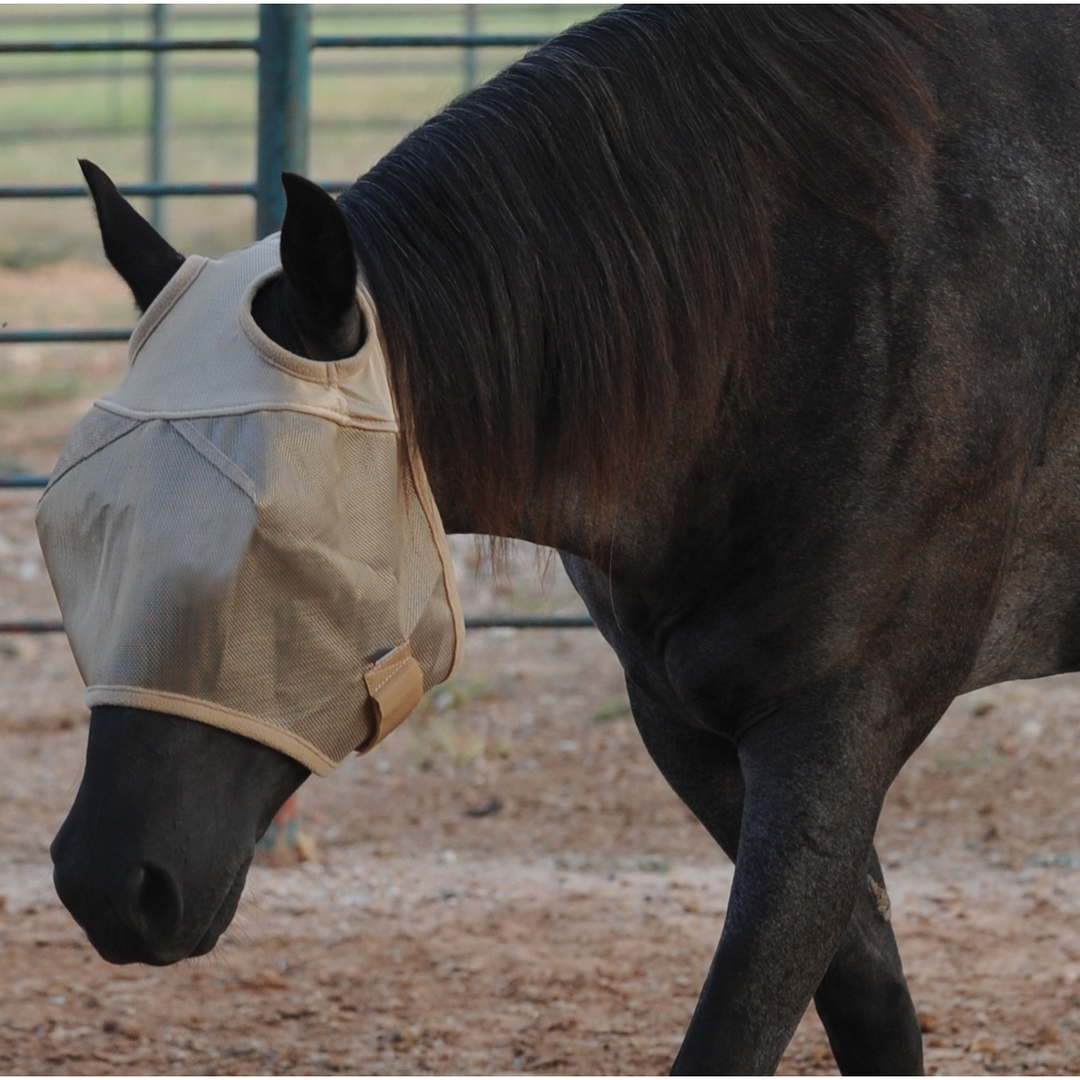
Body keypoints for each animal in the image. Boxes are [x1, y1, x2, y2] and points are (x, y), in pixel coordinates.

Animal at [42, 6, 1080, 1071]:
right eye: (77, 527)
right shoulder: (685, 722)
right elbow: (870, 998)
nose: (106, 884)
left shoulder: (838, 726)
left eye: (276, 537)